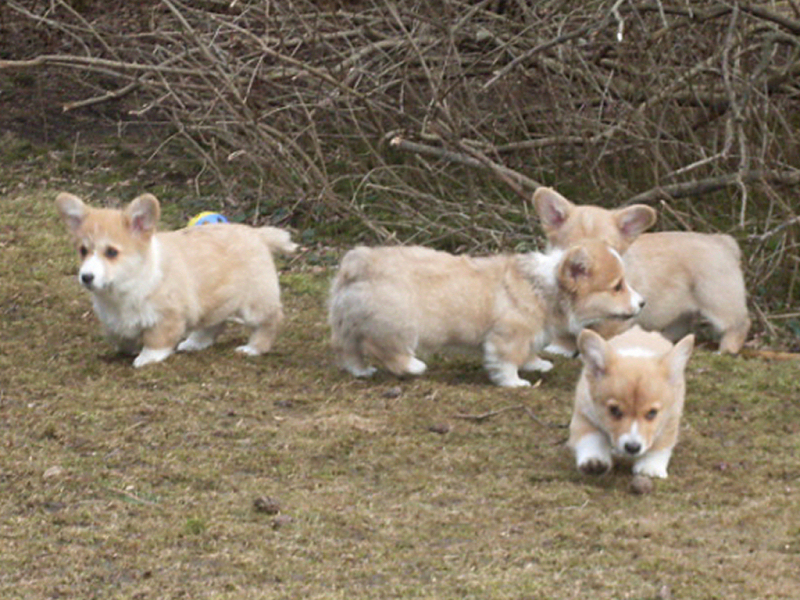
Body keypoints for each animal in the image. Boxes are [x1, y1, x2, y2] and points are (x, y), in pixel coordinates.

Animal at [54, 192, 296, 366]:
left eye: (112, 252)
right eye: (83, 251)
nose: (86, 277)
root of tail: (258, 234)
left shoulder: (168, 316)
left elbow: (156, 340)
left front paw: (145, 358)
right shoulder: (114, 320)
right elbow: (119, 336)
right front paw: (129, 347)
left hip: (254, 304)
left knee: (271, 319)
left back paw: (253, 348)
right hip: (213, 302)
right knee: (214, 324)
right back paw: (195, 342)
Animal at [328, 240, 648, 386]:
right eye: (617, 286)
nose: (642, 303)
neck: (546, 287)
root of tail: (358, 264)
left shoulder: (530, 336)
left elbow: (529, 353)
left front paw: (537, 365)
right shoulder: (508, 337)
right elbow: (506, 362)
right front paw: (515, 382)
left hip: (345, 325)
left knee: (349, 351)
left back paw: (361, 371)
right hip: (399, 326)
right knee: (383, 348)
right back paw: (413, 366)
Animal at [532, 188, 752, 354]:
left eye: (607, 246)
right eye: (571, 246)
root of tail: (722, 241)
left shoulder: (618, 319)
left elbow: (603, 335)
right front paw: (559, 348)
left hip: (717, 299)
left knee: (739, 323)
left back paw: (726, 349)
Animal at [568, 326, 692, 480]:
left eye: (652, 413)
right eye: (614, 410)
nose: (632, 448)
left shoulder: (670, 419)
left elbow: (660, 446)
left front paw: (649, 468)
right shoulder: (585, 413)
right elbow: (591, 438)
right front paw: (594, 461)